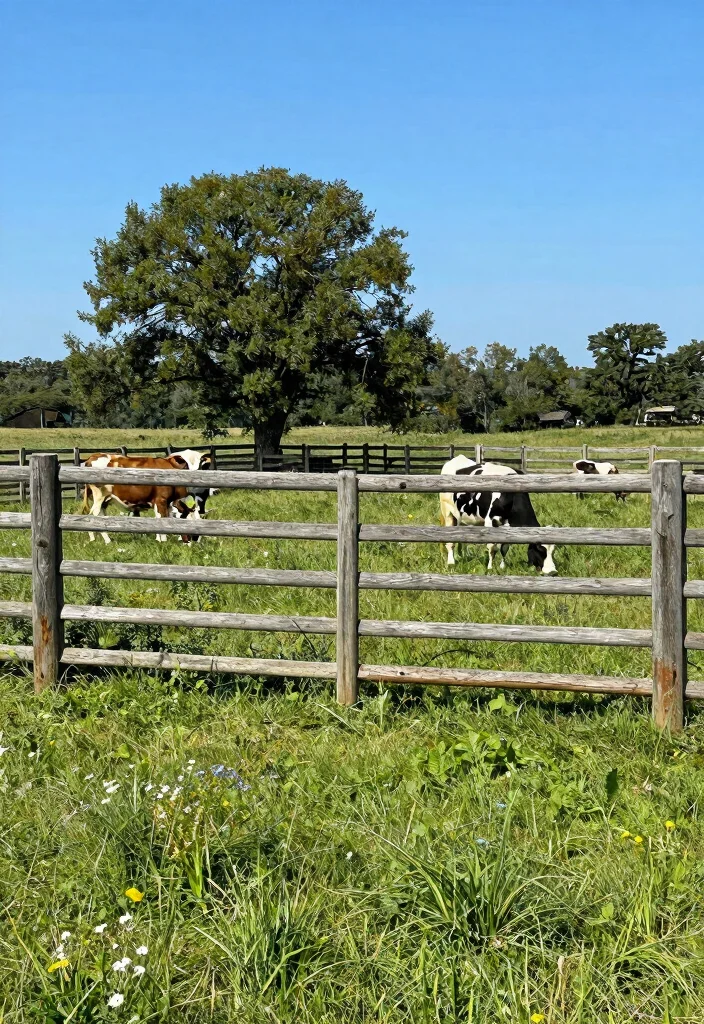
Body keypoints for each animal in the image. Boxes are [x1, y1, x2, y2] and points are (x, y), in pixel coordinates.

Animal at [81, 450, 212, 543]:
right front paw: (163, 541)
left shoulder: (167, 503)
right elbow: (162, 519)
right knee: (94, 515)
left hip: (104, 500)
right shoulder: (161, 500)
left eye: (201, 465)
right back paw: (105, 540)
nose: (194, 542)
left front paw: (159, 539)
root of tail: (93, 457)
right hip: (99, 496)